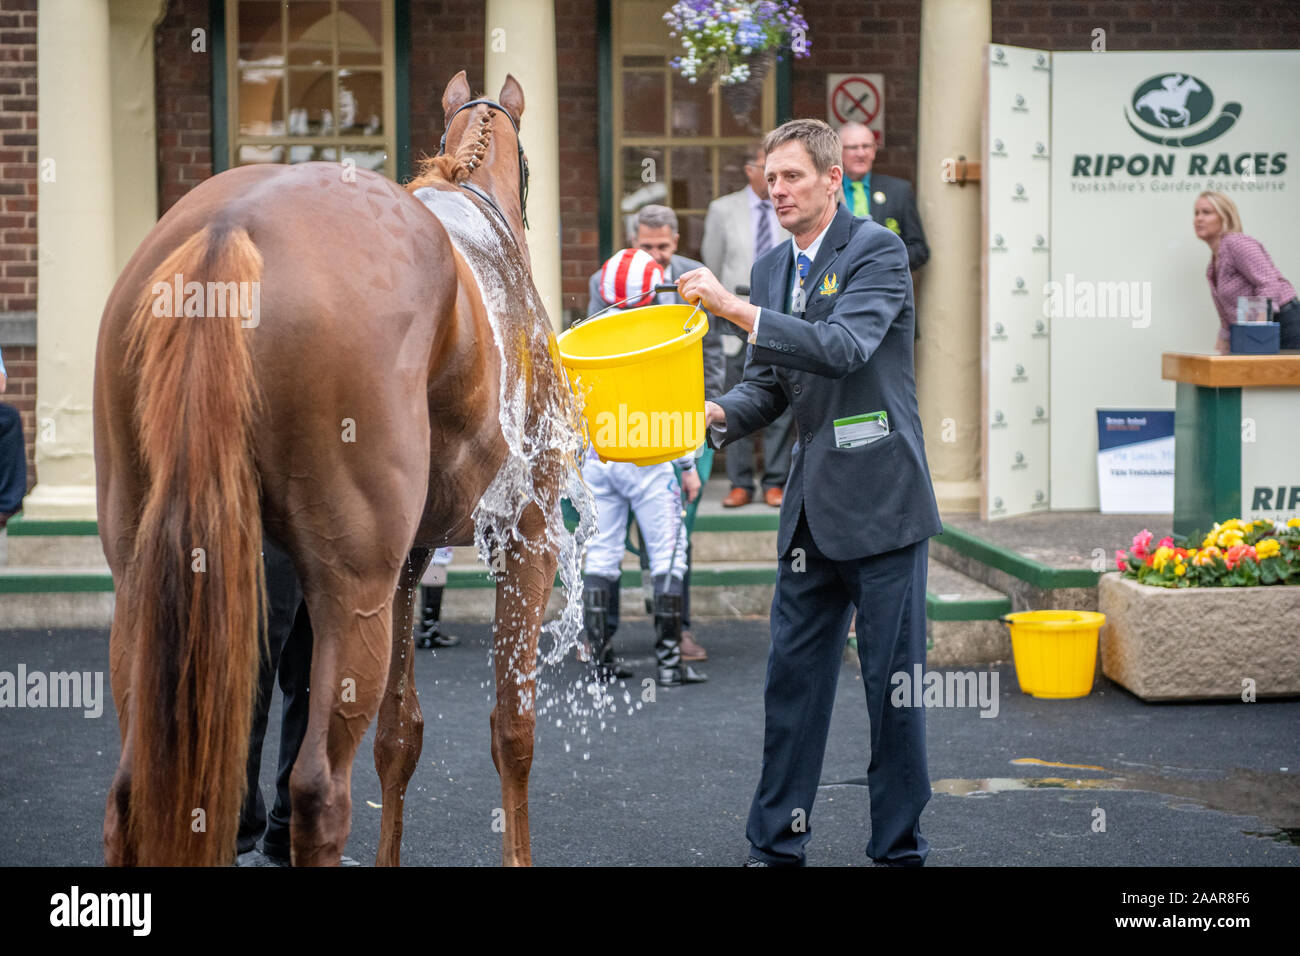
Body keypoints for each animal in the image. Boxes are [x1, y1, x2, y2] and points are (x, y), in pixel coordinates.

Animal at [91, 72, 579, 868]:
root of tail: (231, 226)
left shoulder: (413, 557)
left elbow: (401, 736)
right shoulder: (526, 535)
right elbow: (513, 727)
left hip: (144, 570)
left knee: (135, 791)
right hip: (354, 582)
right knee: (320, 789)